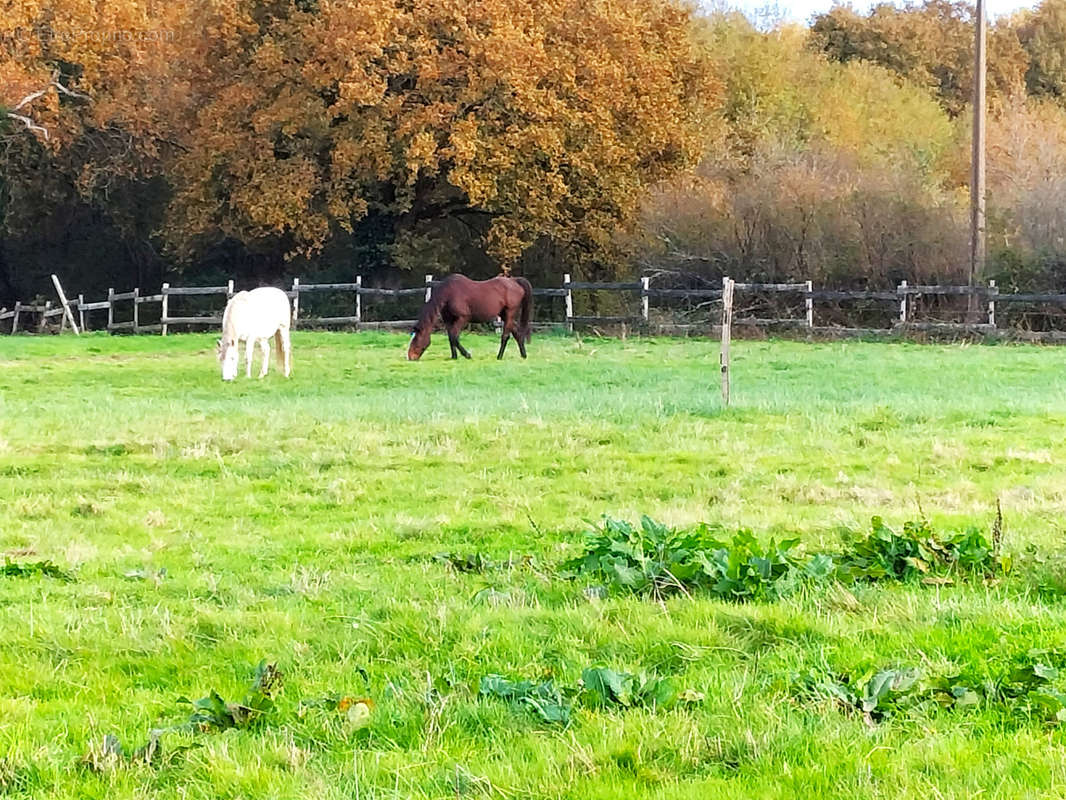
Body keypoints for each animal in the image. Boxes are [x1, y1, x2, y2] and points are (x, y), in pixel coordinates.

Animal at [405, 275, 533, 362]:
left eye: (416, 339)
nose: (410, 357)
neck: (448, 294)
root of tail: (514, 281)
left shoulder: (463, 318)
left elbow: (454, 337)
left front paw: (467, 355)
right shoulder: (448, 320)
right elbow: (451, 338)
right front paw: (454, 357)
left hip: (510, 313)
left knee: (505, 336)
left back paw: (499, 357)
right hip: (504, 315)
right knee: (517, 333)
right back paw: (524, 355)